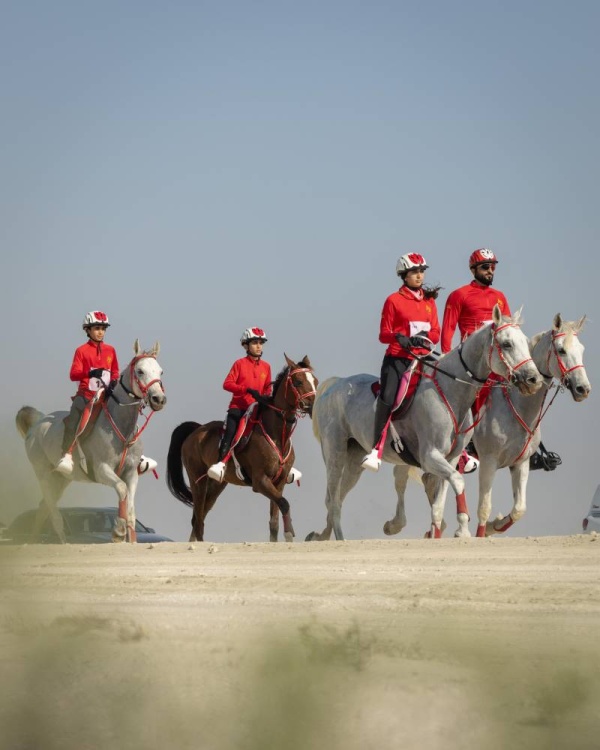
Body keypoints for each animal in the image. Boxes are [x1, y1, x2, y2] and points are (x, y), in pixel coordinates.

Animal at [16, 342, 166, 548]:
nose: (159, 399)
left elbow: (130, 506)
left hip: (61, 478)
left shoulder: (131, 473)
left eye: (160, 371)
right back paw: (62, 542)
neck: (120, 427)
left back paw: (32, 541)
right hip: (43, 474)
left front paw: (131, 539)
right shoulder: (102, 469)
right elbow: (121, 489)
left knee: (43, 508)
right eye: (140, 371)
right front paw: (118, 532)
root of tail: (37, 423)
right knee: (52, 511)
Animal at [164, 356, 314, 544]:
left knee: (200, 515)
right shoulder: (260, 481)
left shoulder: (278, 484)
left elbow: (275, 519)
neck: (277, 435)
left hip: (217, 484)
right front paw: (289, 533)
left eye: (315, 381)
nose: (313, 404)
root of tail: (196, 430)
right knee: (197, 518)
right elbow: (285, 503)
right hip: (198, 480)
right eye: (299, 381)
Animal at [310, 306, 544, 540]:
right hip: (335, 454)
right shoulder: (431, 456)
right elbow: (458, 482)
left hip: (354, 459)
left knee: (337, 498)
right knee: (333, 500)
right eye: (507, 344)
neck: (450, 391)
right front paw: (462, 531)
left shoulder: (451, 459)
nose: (534, 379)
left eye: (525, 342)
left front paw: (438, 534)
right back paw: (340, 540)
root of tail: (334, 385)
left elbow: (439, 504)